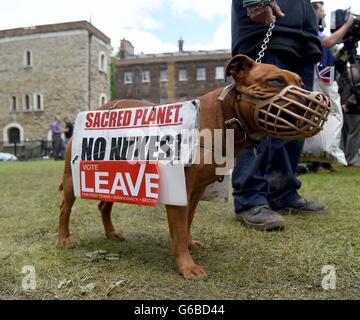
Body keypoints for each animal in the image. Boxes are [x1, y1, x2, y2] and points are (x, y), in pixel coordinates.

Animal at [58, 55, 326, 280]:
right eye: (275, 81)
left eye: (302, 82)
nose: (315, 99)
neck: (225, 117)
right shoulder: (181, 192)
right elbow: (178, 227)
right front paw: (186, 265)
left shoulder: (195, 192)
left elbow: (185, 225)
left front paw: (186, 244)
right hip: (72, 181)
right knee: (65, 209)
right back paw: (64, 239)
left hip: (115, 177)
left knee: (104, 205)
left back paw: (111, 234)